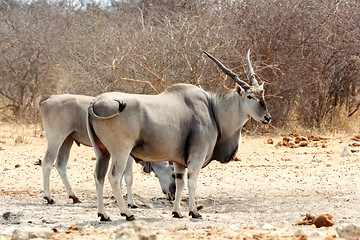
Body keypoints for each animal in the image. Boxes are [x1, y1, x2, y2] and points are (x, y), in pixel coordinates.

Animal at [87, 49, 272, 220]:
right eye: (250, 96)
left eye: (262, 94)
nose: (267, 118)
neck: (212, 108)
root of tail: (95, 102)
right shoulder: (197, 155)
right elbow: (192, 181)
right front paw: (194, 212)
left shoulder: (178, 161)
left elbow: (180, 181)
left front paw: (177, 212)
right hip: (121, 152)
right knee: (114, 177)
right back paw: (127, 213)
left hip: (102, 152)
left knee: (99, 176)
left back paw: (103, 214)